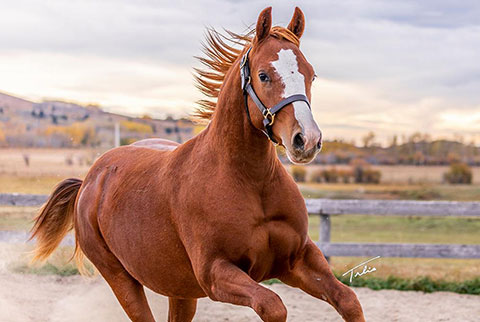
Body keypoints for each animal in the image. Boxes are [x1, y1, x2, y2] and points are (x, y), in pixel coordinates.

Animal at [31, 6, 366, 320]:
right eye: (263, 75)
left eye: (311, 74)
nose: (306, 140)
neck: (249, 181)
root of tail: (89, 181)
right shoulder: (215, 274)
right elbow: (273, 306)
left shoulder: (299, 259)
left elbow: (349, 300)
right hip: (122, 279)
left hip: (179, 289)